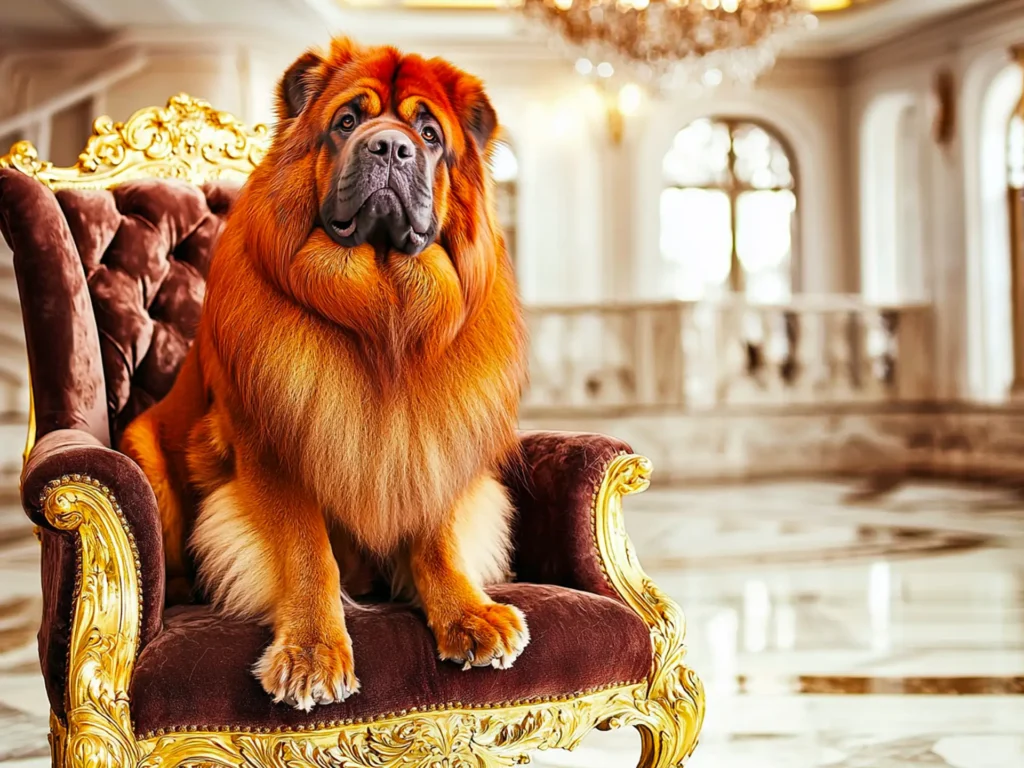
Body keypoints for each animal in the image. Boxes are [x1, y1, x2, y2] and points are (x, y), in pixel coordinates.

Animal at [121, 34, 528, 708]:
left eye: (429, 133)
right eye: (347, 121)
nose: (390, 146)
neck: (380, 316)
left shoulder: (438, 439)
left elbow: (437, 535)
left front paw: (469, 613)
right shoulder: (270, 447)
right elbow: (307, 549)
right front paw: (312, 653)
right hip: (145, 449)